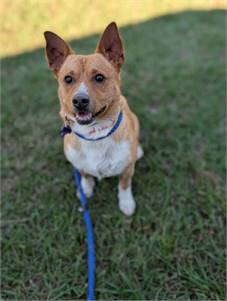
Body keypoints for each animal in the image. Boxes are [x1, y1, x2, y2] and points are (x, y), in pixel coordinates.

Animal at [44, 22, 143, 214]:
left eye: (99, 77)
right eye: (68, 79)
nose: (79, 100)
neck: (94, 134)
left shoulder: (127, 169)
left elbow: (124, 185)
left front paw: (126, 203)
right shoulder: (78, 164)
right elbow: (84, 174)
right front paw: (85, 189)